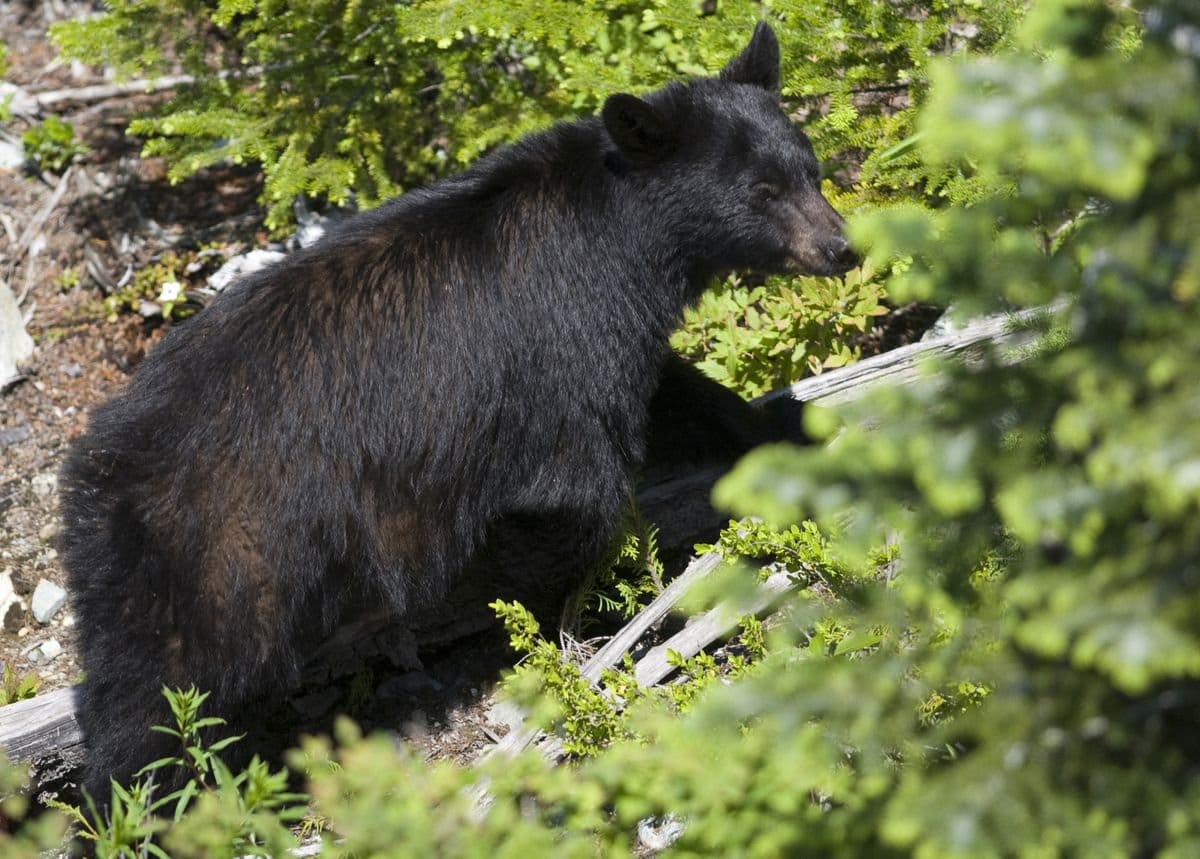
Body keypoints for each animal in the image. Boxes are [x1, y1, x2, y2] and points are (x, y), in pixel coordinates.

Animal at [60, 21, 859, 796]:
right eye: (762, 189)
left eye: (810, 170)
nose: (841, 247)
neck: (622, 238)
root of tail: (102, 469)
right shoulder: (560, 345)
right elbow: (575, 491)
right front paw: (565, 611)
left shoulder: (611, 332)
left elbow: (675, 391)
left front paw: (779, 425)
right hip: (226, 546)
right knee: (159, 692)